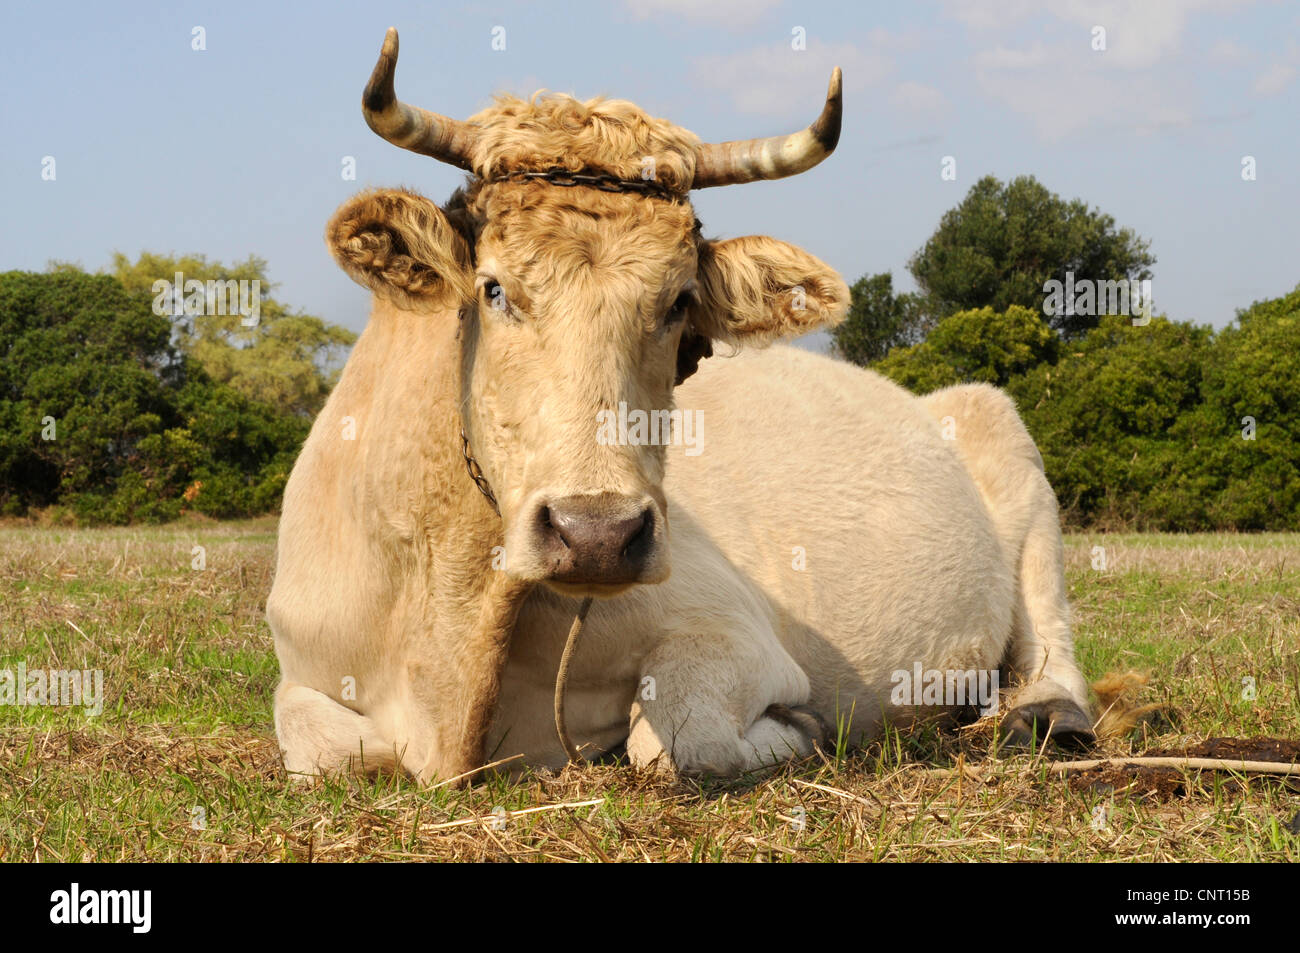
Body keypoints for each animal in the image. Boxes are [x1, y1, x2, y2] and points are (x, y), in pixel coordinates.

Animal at [268, 28, 1095, 783]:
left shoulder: (732, 631)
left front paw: (794, 730)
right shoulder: (303, 666)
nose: (597, 535)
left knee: (1050, 636)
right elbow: (325, 749)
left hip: (1006, 435)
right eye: (493, 288)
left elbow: (676, 741)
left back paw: (1040, 713)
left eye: (678, 301)